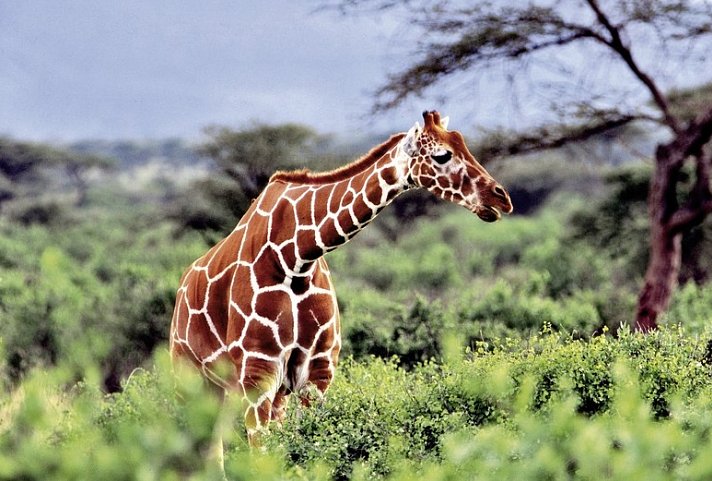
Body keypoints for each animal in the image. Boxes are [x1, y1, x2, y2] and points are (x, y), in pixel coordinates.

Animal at [168, 110, 512, 448]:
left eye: (464, 144)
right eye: (442, 155)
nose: (501, 199)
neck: (296, 259)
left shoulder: (317, 372)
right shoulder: (256, 372)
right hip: (191, 379)